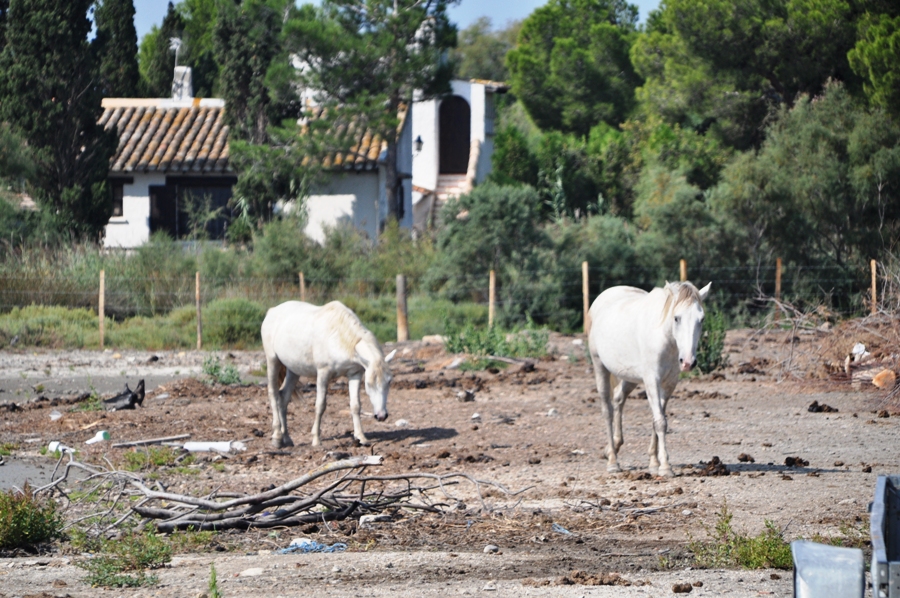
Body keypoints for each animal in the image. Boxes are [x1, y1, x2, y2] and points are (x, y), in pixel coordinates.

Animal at [264, 300, 398, 450]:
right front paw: (316, 440)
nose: (381, 416)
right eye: (369, 384)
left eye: (389, 381)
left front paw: (361, 437)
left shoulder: (355, 374)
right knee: (273, 394)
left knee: (283, 397)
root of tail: (271, 311)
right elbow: (320, 405)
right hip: (272, 360)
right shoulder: (323, 373)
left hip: (294, 370)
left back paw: (287, 439)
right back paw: (276, 437)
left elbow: (355, 406)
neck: (338, 336)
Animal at [588, 282, 712, 478]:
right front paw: (665, 467)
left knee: (619, 399)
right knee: (607, 411)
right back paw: (613, 461)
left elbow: (658, 420)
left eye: (702, 319)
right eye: (676, 318)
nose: (688, 362)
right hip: (600, 366)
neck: (665, 339)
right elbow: (660, 422)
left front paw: (654, 463)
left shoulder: (668, 384)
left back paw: (613, 447)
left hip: (630, 376)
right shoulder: (652, 380)